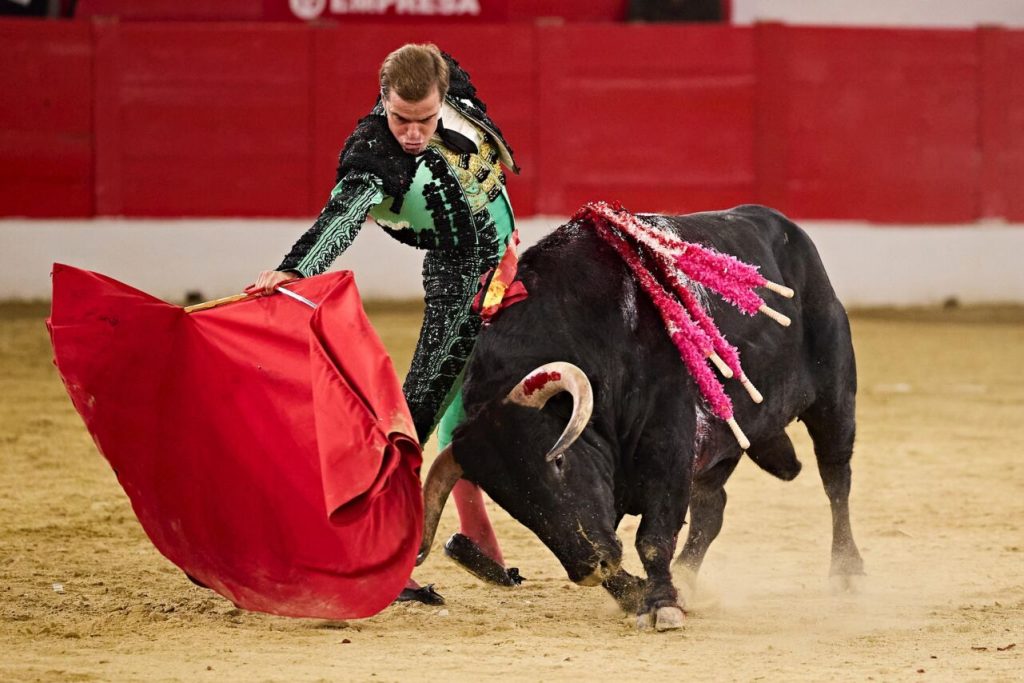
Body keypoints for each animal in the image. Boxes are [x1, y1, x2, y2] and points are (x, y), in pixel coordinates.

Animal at [415, 204, 864, 630]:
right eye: (507, 500)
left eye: (559, 462)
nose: (588, 568)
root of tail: (789, 232)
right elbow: (617, 539)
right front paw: (640, 594)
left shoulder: (668, 446)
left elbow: (652, 536)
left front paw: (661, 605)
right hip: (719, 446)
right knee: (712, 506)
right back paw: (686, 578)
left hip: (834, 398)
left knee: (836, 479)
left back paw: (846, 571)